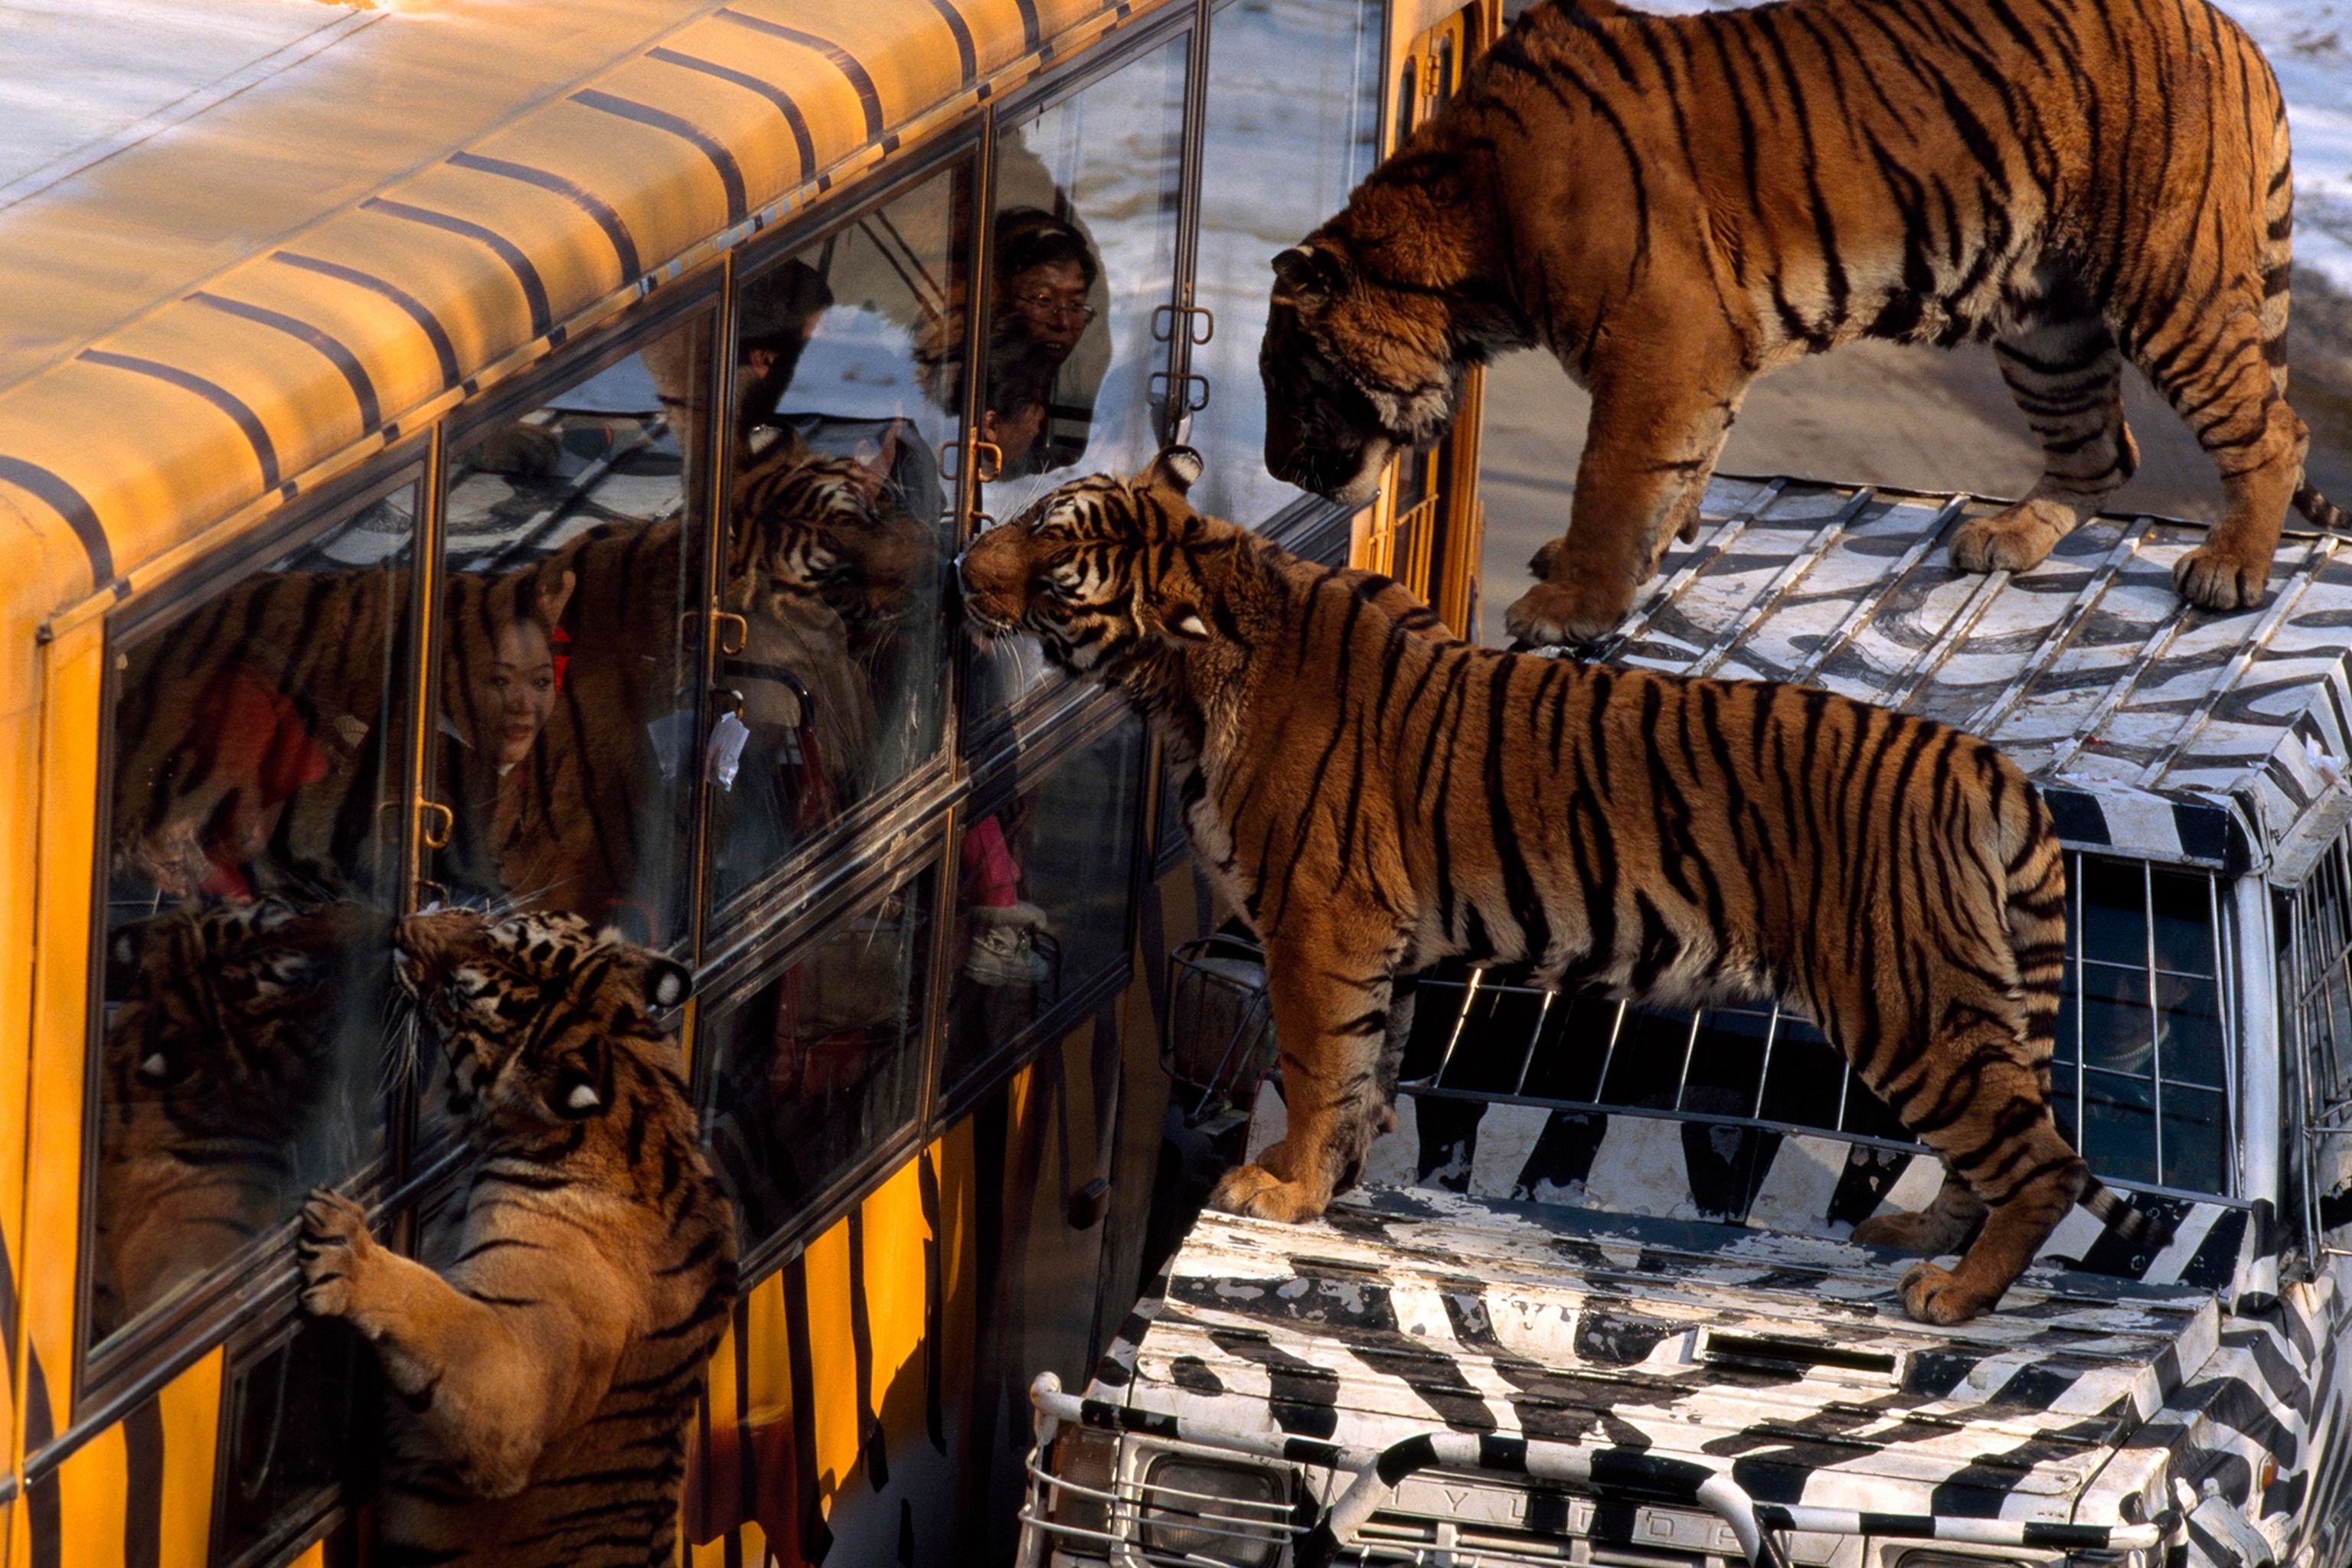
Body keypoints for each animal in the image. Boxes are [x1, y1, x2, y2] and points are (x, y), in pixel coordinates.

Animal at [296, 906, 737, 1568]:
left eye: (459, 993)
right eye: (494, 923)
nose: (404, 926)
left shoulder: (515, 1378)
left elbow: (433, 1305)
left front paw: (349, 1254)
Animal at [960, 448, 2162, 1325]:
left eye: (1055, 566)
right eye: (1033, 520)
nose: (967, 564)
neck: (1184, 670)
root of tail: (1987, 762)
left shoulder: (1316, 924)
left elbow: (1313, 1066)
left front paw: (1282, 1187)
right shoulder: (1374, 941)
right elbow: (1366, 1070)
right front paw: (1331, 1183)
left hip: (1909, 1001)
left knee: (2040, 1160)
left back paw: (1952, 1293)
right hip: (1969, 1000)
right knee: (2000, 1144)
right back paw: (1915, 1240)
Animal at [1257, 0, 2352, 645]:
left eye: (1286, 378)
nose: (1274, 468)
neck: (1468, 243)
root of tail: (2239, 35)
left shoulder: (1661, 345)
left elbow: (1611, 481)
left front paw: (1571, 605)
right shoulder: (1696, 356)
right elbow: (1671, 474)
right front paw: (1624, 562)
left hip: (2170, 284)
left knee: (2276, 430)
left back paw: (2229, 570)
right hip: (2050, 322)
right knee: (2101, 453)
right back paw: (2006, 537)